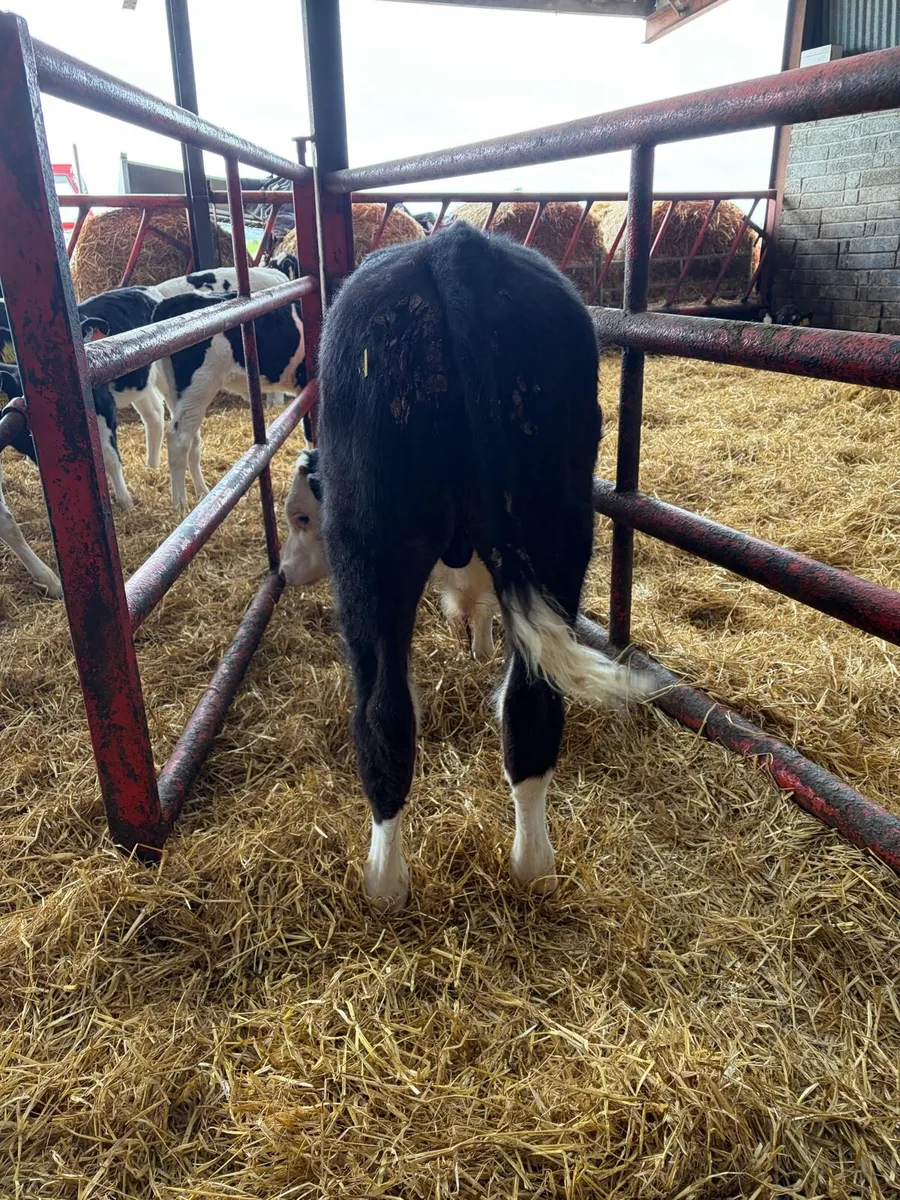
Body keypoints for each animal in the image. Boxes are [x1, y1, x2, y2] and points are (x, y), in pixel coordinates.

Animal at [151, 292, 306, 508]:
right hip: (200, 385)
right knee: (178, 438)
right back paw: (180, 504)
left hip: (175, 392)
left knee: (193, 441)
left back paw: (203, 494)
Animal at [308, 223, 648, 914]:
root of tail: (458, 245)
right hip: (556, 530)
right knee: (531, 707)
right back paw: (533, 866)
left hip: (366, 547)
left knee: (382, 715)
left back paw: (385, 885)